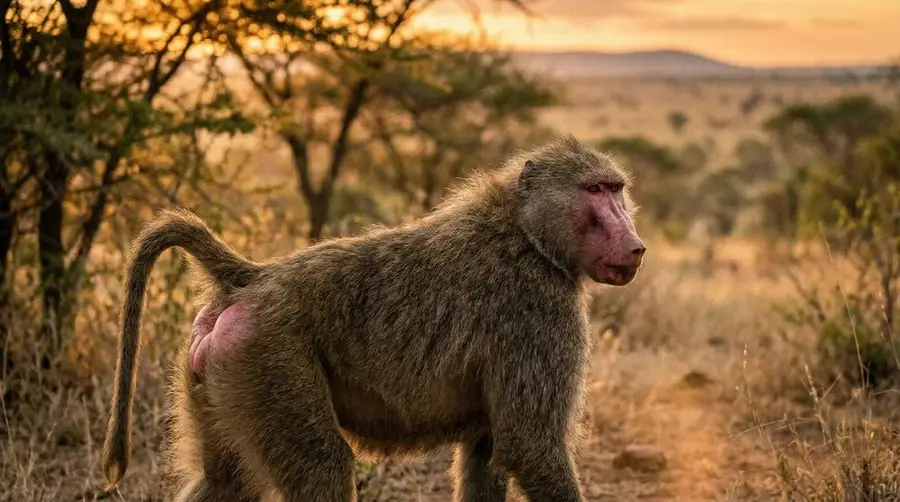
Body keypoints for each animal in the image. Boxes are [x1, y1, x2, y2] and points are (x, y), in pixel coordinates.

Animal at [101, 135, 647, 502]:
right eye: (596, 191)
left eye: (617, 190)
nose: (636, 245)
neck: (527, 232)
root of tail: (251, 278)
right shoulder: (539, 312)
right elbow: (530, 445)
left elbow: (487, 455)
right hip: (269, 358)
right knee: (322, 466)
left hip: (218, 373)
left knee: (225, 482)